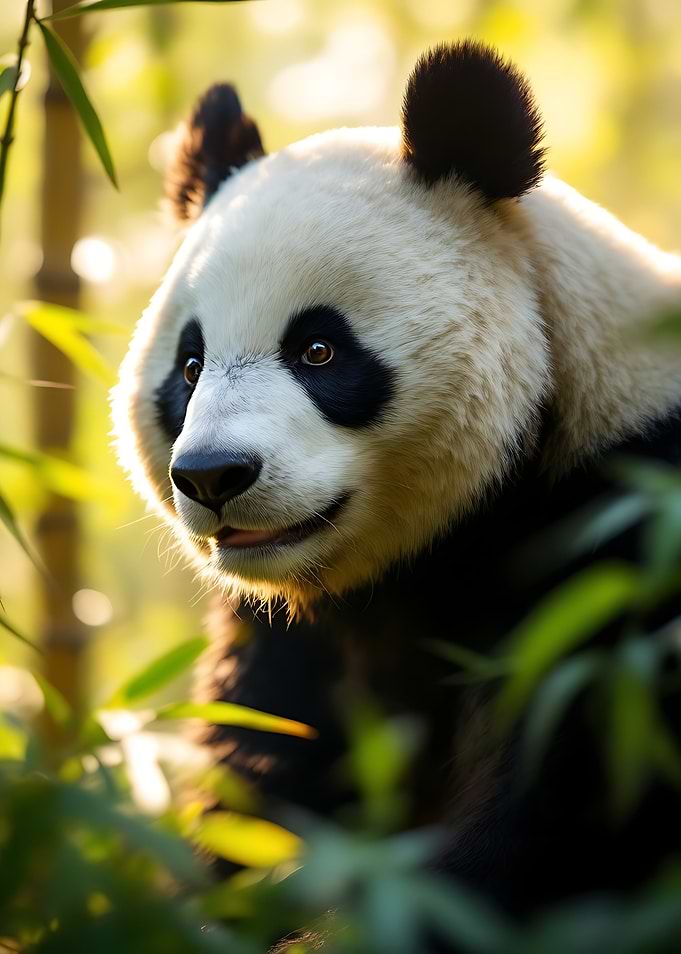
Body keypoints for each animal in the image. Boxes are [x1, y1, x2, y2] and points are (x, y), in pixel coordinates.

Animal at [112, 40, 681, 926]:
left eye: (318, 351)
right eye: (190, 366)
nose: (212, 476)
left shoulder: (620, 552)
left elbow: (553, 825)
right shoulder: (294, 638)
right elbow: (260, 776)